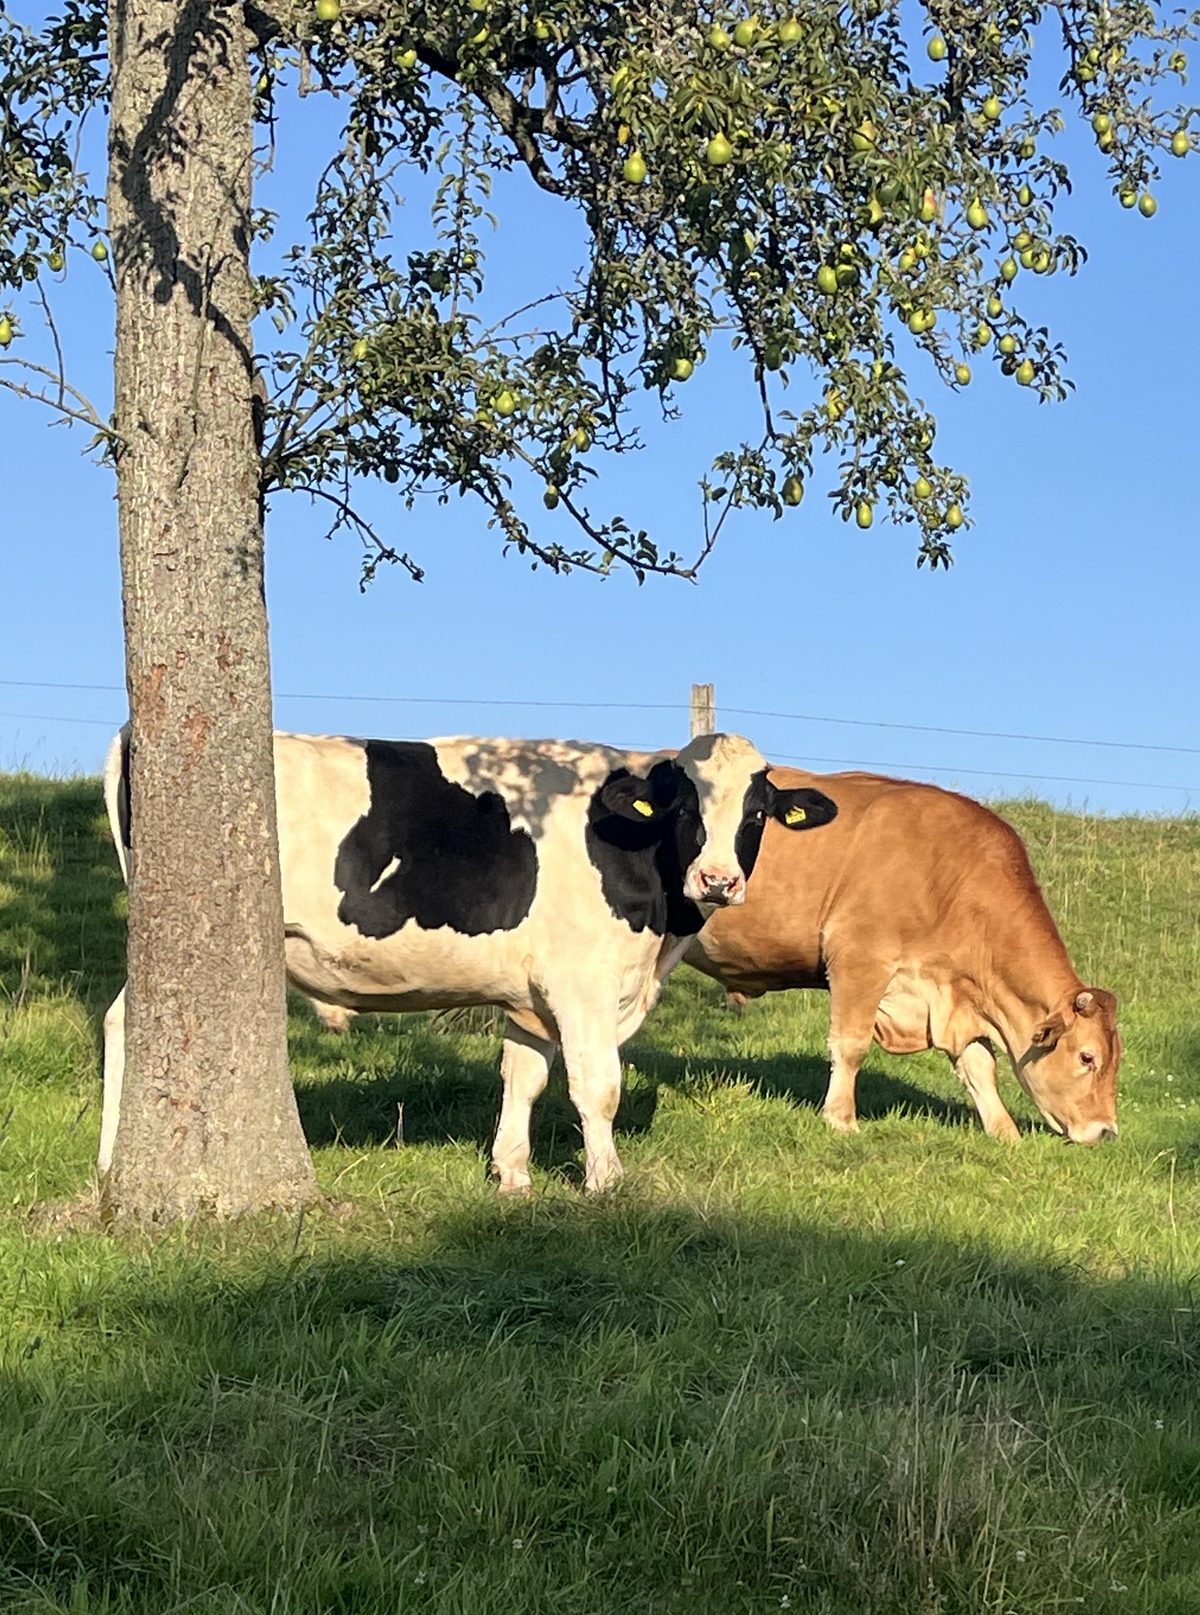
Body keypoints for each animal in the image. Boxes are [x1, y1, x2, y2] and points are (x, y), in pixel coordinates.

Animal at [101, 730, 839, 1192]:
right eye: (685, 808)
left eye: (757, 813)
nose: (717, 880)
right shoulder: (581, 983)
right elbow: (597, 1085)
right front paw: (605, 1181)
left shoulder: (530, 993)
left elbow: (524, 1079)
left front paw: (512, 1173)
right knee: (123, 1023)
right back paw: (110, 1162)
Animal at [687, 768, 1120, 1145]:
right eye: (1087, 1058)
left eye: (1115, 1060)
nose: (1107, 1131)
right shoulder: (861, 959)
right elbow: (851, 1043)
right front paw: (841, 1119)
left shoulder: (958, 997)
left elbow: (980, 1065)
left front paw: (1006, 1134)